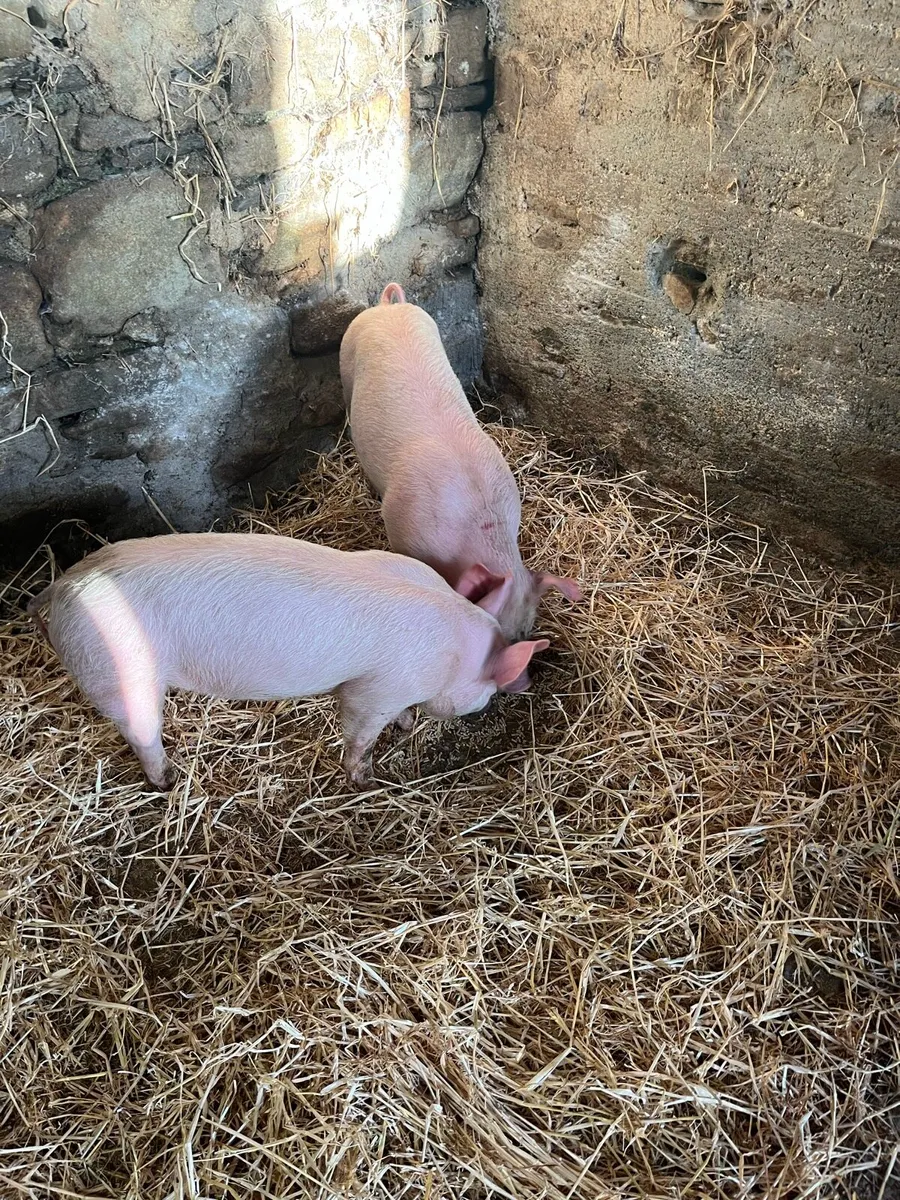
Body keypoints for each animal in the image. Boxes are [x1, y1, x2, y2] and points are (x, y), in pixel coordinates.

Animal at [26, 533, 549, 791]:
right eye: (485, 697)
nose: (498, 701)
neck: (454, 651)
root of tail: (62, 586)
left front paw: (404, 728)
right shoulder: (374, 689)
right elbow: (359, 731)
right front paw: (365, 779)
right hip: (117, 672)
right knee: (141, 733)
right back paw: (168, 781)